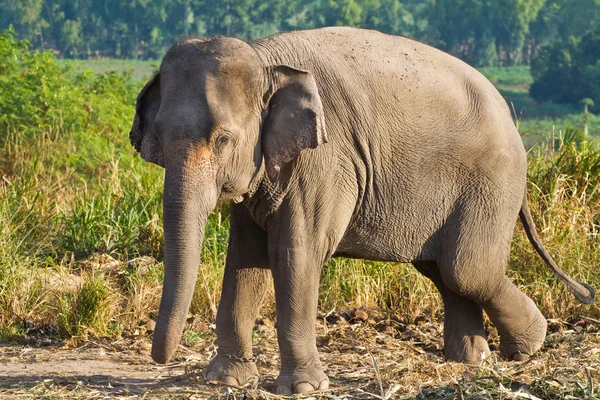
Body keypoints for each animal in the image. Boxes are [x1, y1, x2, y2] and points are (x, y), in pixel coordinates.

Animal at [129, 27, 592, 394]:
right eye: (159, 135)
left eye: (224, 140)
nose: (160, 360)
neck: (265, 59)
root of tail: (512, 121)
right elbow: (247, 256)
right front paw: (226, 381)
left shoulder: (323, 162)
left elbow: (295, 253)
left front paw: (303, 389)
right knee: (442, 270)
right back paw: (468, 360)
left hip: (490, 184)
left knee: (467, 269)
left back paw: (528, 347)